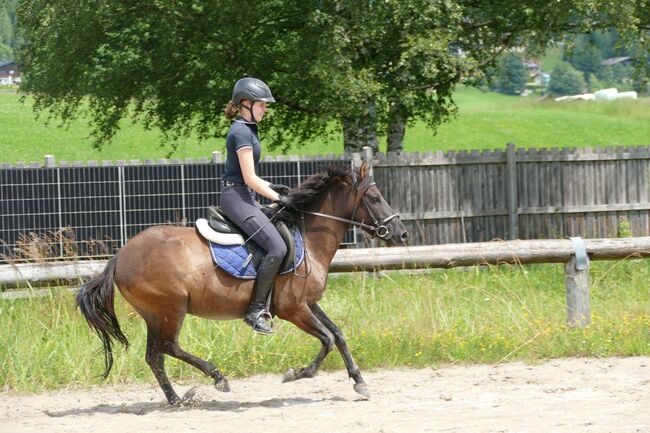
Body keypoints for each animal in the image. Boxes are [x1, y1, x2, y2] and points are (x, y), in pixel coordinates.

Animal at [77, 160, 404, 404]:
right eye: (374, 198)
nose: (401, 233)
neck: (308, 236)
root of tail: (120, 257)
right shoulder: (293, 309)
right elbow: (326, 339)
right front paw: (297, 373)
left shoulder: (308, 303)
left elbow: (338, 335)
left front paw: (359, 381)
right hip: (170, 309)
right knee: (167, 347)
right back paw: (217, 378)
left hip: (155, 314)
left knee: (155, 355)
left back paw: (177, 400)